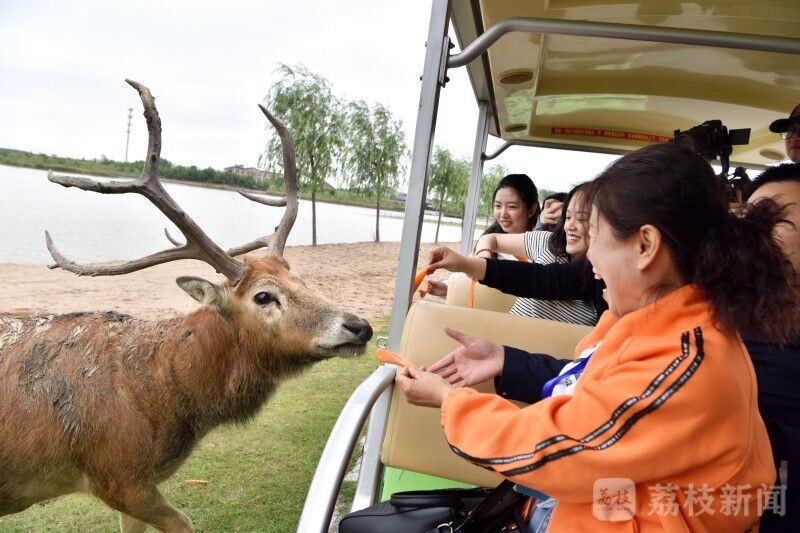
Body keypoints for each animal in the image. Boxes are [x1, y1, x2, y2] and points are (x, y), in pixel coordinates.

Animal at [0, 80, 372, 532]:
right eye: (264, 296)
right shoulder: (116, 476)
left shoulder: (131, 486)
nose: (359, 326)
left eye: (299, 279)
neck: (163, 400)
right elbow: (185, 522)